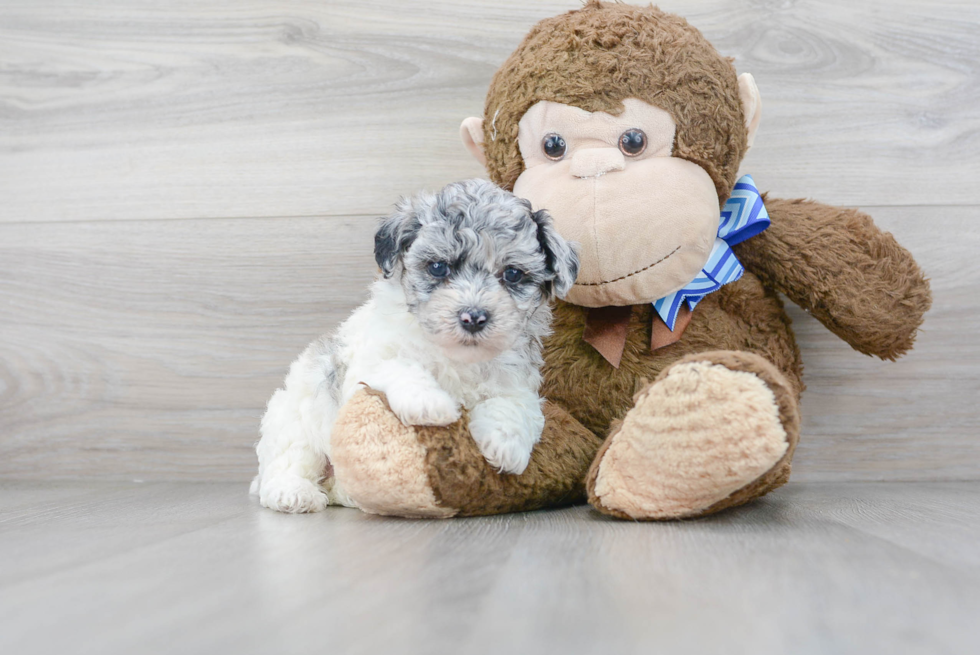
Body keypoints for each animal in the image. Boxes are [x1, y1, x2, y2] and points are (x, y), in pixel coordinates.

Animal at [249, 178, 580, 512]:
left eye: (512, 274)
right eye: (438, 267)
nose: (473, 317)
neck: (456, 355)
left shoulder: (518, 381)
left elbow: (515, 405)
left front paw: (505, 444)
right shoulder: (370, 360)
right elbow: (399, 365)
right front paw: (430, 404)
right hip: (295, 418)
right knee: (290, 461)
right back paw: (294, 493)